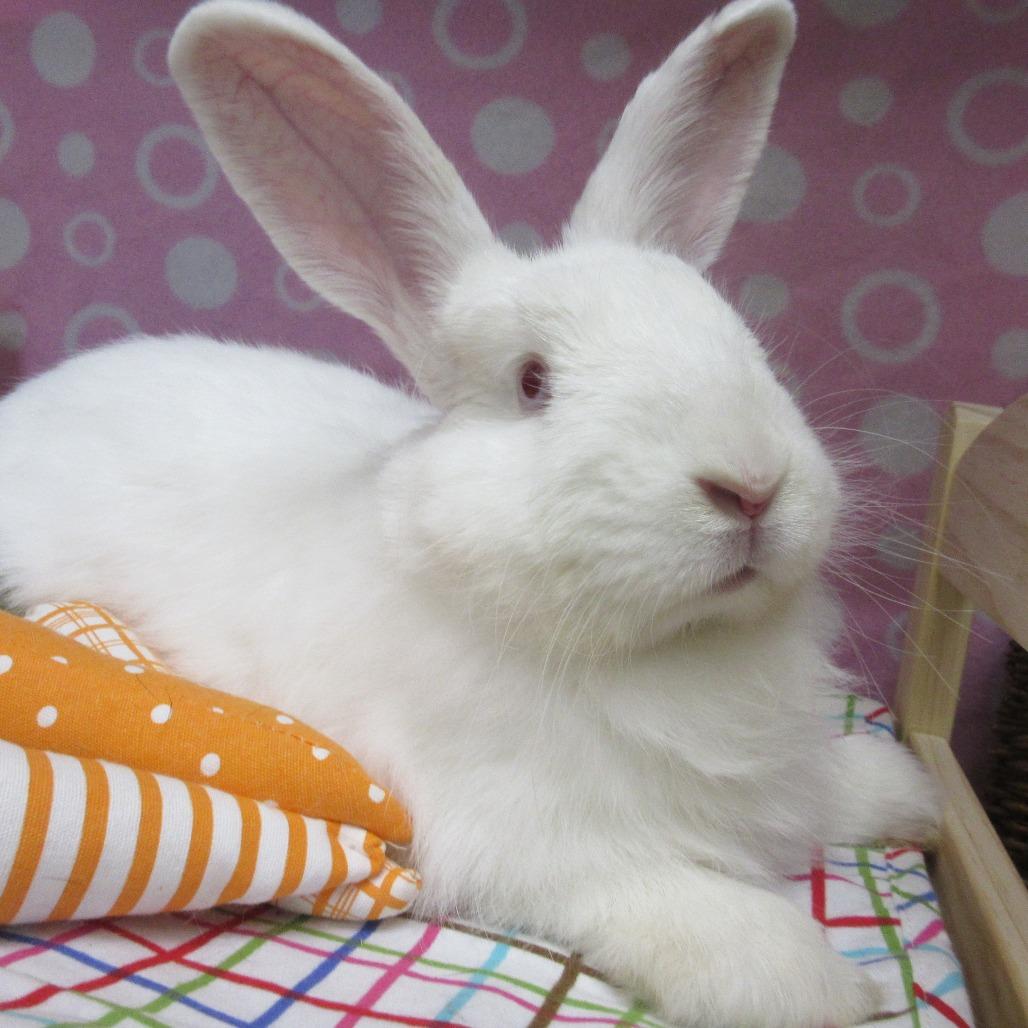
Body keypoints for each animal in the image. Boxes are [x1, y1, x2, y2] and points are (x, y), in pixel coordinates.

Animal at [0, 0, 941, 1024]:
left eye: (744, 343)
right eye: (533, 383)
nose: (752, 482)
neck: (669, 651)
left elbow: (824, 793)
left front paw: (907, 791)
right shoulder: (533, 842)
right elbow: (680, 901)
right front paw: (823, 985)